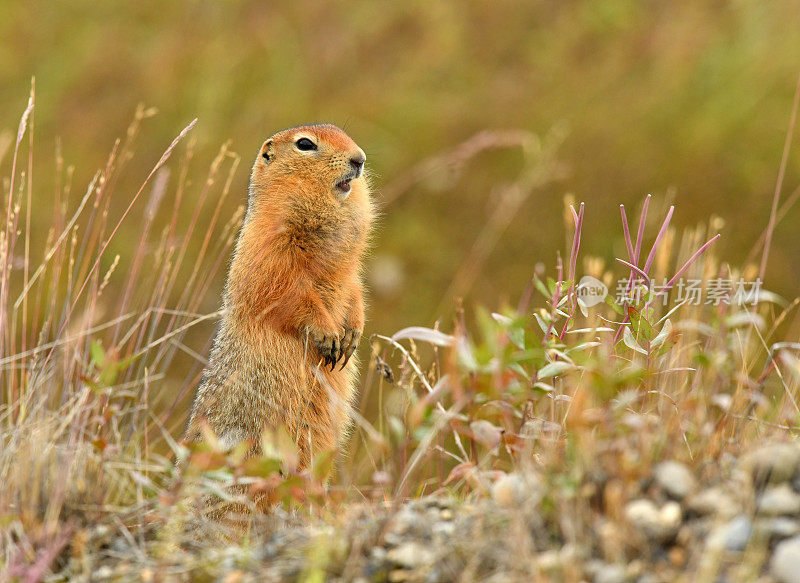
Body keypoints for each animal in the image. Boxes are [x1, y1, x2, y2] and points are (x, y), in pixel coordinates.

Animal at [186, 125, 374, 472]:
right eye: (305, 144)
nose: (360, 159)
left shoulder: (350, 272)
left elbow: (355, 291)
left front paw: (352, 334)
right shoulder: (270, 254)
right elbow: (289, 295)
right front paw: (328, 335)